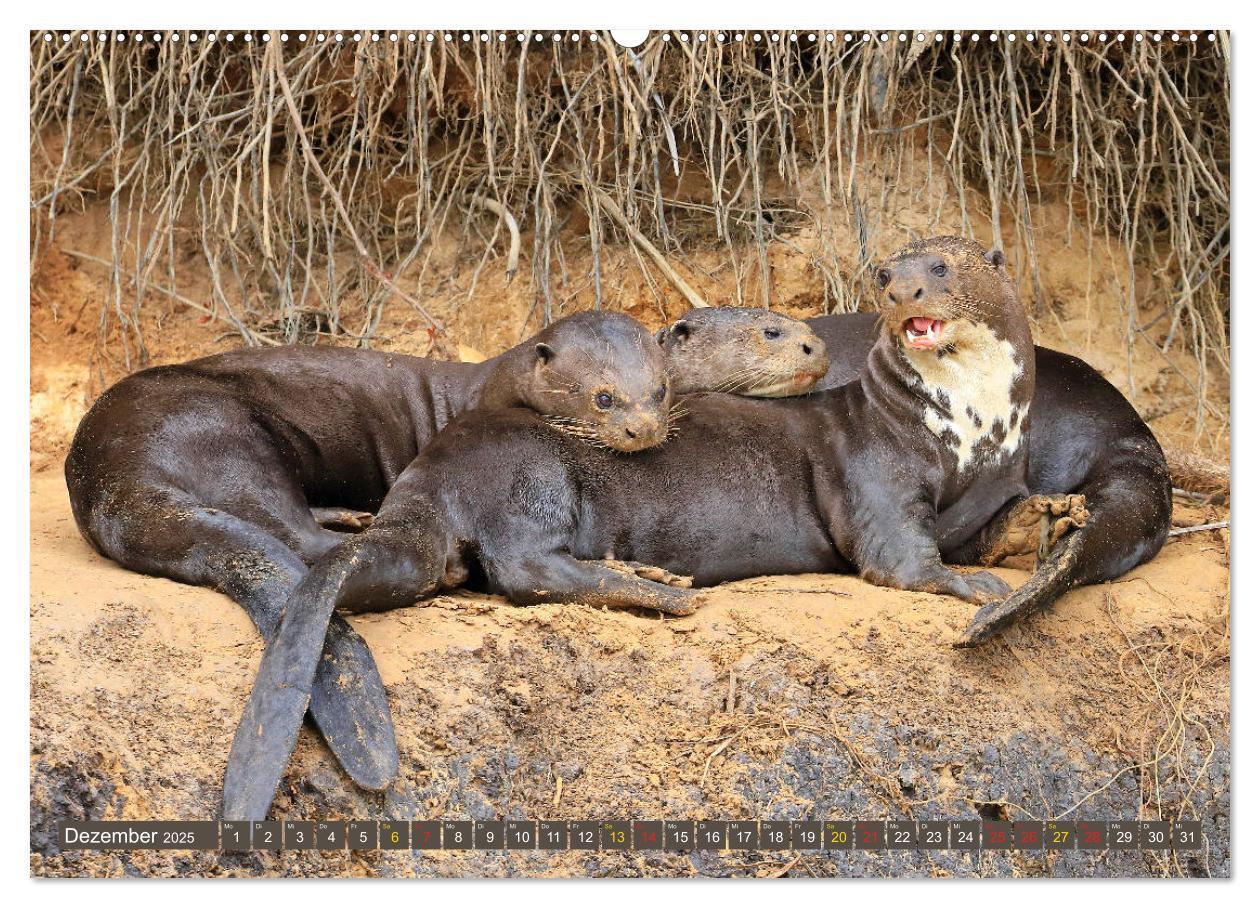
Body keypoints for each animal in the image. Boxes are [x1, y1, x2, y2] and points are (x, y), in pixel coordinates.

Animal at [224, 236, 1033, 816]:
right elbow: (900, 559)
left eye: (943, 265)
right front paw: (972, 583)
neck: (964, 430)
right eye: (771, 331)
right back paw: (661, 593)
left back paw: (644, 574)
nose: (899, 287)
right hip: (533, 475)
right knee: (524, 568)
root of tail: (426, 480)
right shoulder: (875, 477)